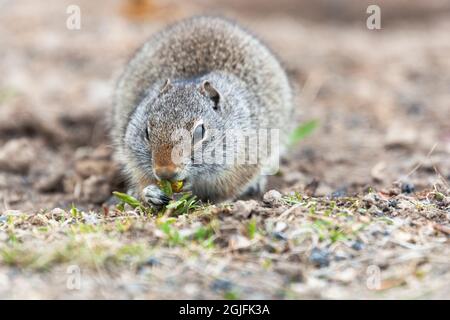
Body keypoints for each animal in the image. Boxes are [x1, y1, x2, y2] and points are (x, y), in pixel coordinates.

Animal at [114, 16, 294, 206]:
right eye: (147, 132)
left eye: (200, 132)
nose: (164, 172)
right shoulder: (133, 161)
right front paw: (151, 193)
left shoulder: (242, 163)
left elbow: (229, 188)